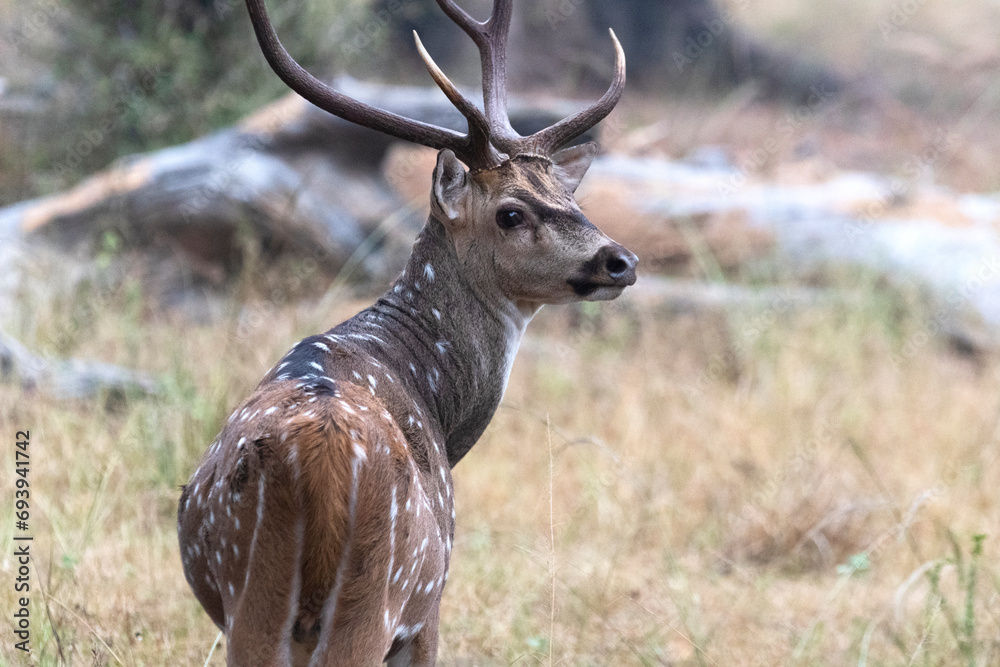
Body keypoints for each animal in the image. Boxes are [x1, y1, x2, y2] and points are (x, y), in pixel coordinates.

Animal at [176, 0, 636, 664]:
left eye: (569, 198)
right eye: (511, 212)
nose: (621, 261)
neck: (440, 406)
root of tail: (320, 458)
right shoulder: (430, 605)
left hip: (251, 594)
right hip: (379, 590)